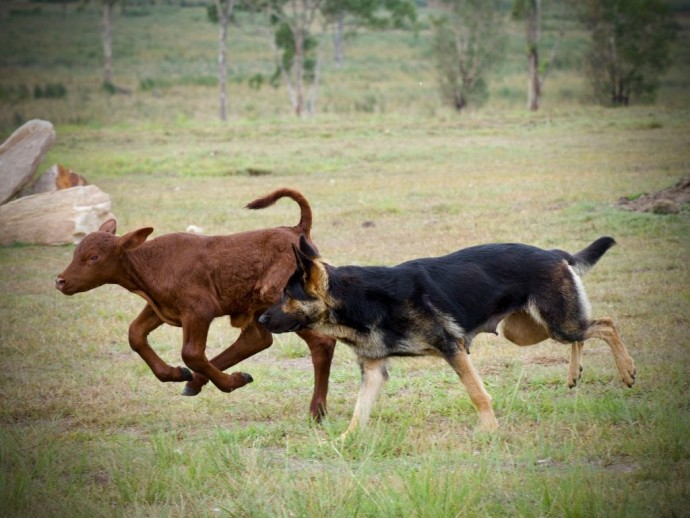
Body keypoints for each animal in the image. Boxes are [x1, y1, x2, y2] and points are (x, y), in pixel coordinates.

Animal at [55, 189, 334, 420]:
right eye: (75, 252)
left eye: (93, 257)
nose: (60, 280)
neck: (148, 264)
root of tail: (296, 230)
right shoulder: (162, 308)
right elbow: (135, 333)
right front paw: (176, 374)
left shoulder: (199, 310)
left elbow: (191, 353)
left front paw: (230, 383)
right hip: (257, 308)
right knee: (256, 339)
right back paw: (195, 383)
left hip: (282, 303)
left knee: (321, 343)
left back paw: (316, 411)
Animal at [256, 238, 636, 436]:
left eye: (285, 295)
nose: (260, 318)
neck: (359, 302)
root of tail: (554, 253)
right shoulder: (374, 371)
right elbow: (357, 413)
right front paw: (343, 442)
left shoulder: (453, 349)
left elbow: (478, 394)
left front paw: (490, 431)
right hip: (527, 331)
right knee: (585, 333)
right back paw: (574, 374)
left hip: (557, 323)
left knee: (605, 324)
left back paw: (627, 370)